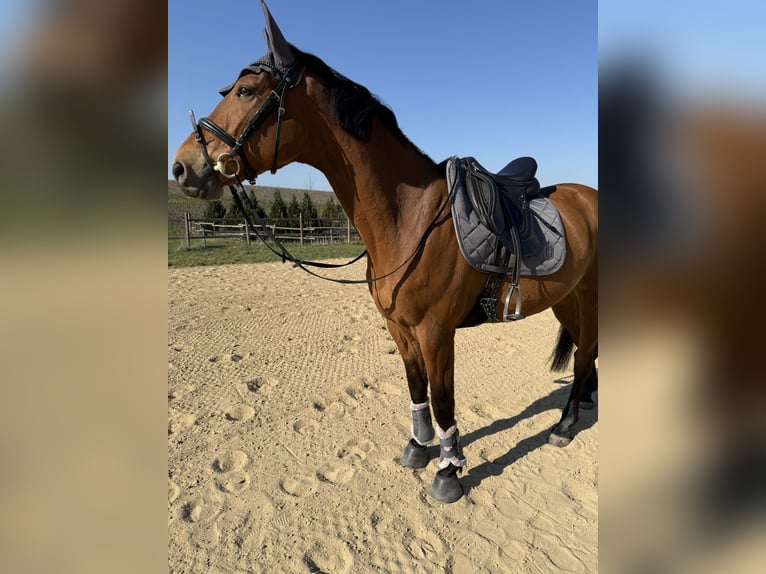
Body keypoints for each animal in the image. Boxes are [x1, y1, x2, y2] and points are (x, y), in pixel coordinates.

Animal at [172, 1, 598, 503]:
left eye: (244, 90)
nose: (182, 167)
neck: (410, 219)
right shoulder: (400, 328)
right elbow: (417, 390)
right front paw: (417, 449)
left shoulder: (436, 332)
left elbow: (443, 400)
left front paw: (448, 474)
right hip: (565, 299)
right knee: (583, 355)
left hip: (588, 298)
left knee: (586, 353)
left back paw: (565, 425)